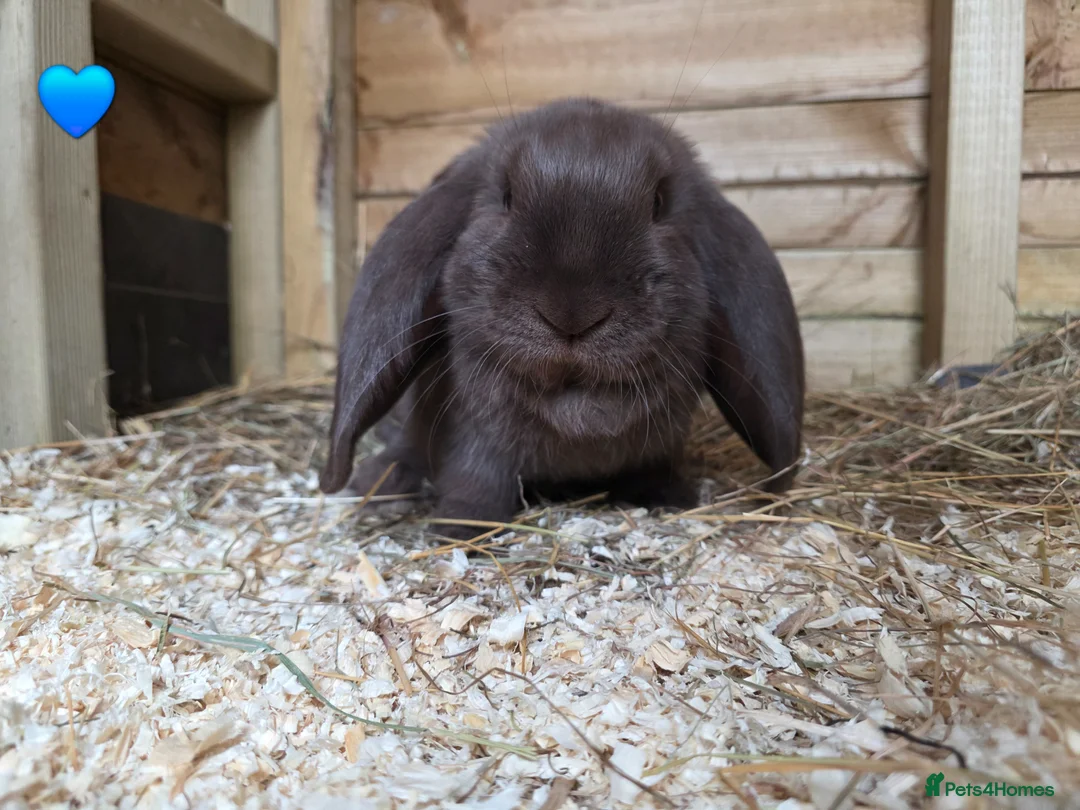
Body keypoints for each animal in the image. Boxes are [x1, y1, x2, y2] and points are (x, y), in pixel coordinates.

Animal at [319, 97, 805, 539]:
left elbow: (653, 471)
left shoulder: (658, 447)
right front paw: (459, 528)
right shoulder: (478, 444)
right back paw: (380, 487)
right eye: (506, 197)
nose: (572, 316)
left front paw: (670, 499)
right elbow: (475, 483)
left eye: (659, 202)